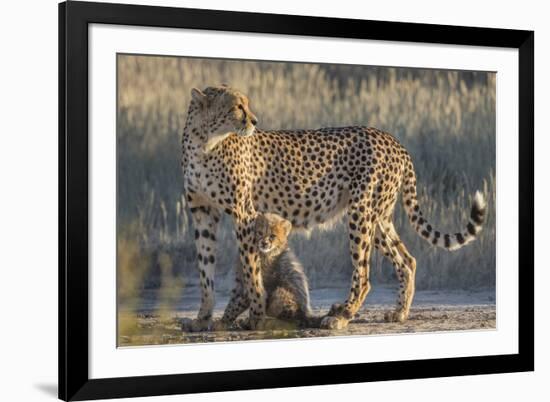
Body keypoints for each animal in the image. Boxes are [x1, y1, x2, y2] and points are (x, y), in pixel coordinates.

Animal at [181, 85, 488, 330]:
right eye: (237, 106)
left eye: (246, 104)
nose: (255, 121)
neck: (204, 142)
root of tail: (392, 138)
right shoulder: (202, 212)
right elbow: (205, 270)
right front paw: (202, 318)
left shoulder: (244, 213)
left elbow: (250, 268)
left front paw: (254, 316)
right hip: (378, 217)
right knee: (407, 260)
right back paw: (398, 313)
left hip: (360, 213)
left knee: (363, 273)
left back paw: (342, 315)